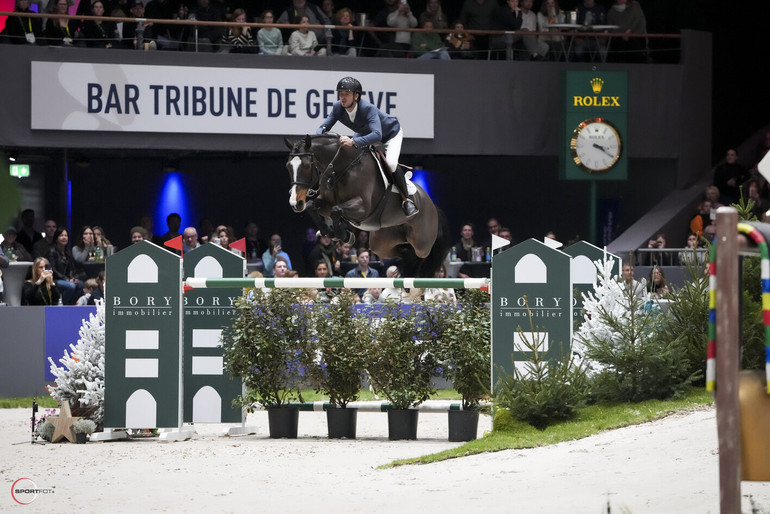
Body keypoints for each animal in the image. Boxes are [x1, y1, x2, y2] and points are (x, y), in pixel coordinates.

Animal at [284, 132, 448, 276]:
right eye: (288, 166)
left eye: (306, 166)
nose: (295, 203)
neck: (340, 168)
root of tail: (432, 205)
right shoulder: (326, 203)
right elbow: (313, 207)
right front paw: (330, 232)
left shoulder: (363, 208)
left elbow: (336, 210)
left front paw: (343, 235)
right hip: (381, 242)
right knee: (402, 252)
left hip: (422, 243)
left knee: (421, 253)